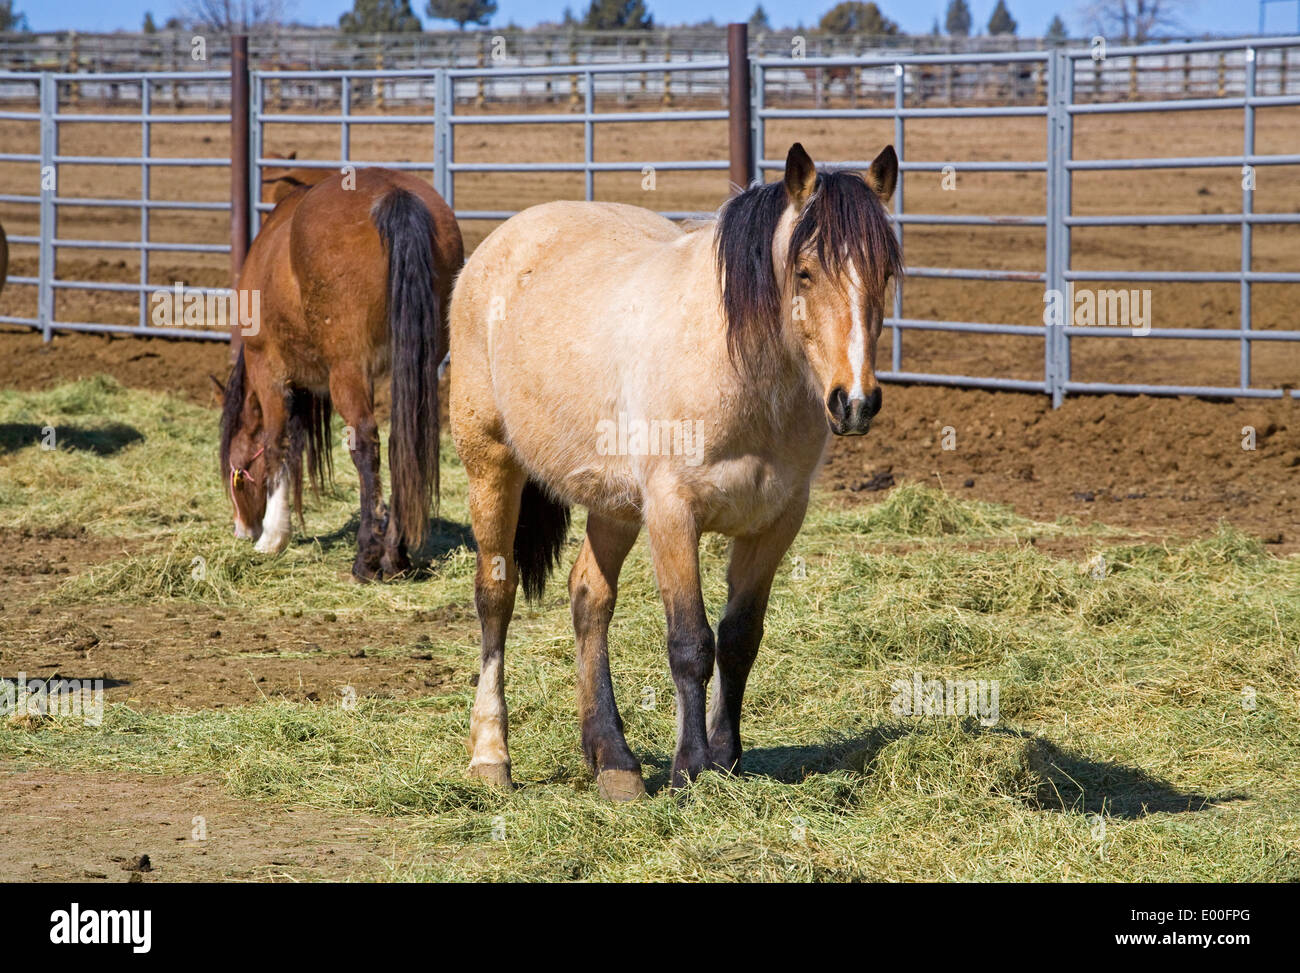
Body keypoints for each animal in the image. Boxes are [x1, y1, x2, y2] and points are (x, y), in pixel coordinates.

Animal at [218, 165, 463, 581]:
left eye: (234, 470)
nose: (241, 528)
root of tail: (393, 194)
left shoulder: (267, 368)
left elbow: (277, 443)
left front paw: (272, 536)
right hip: (418, 368)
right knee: (400, 445)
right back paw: (395, 554)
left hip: (348, 369)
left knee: (365, 442)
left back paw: (368, 556)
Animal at [448, 142, 901, 799]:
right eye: (805, 271)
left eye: (886, 273)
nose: (855, 402)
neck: (737, 372)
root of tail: (498, 245)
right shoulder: (672, 512)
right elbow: (691, 642)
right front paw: (690, 767)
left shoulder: (775, 523)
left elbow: (739, 638)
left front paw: (728, 757)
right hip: (491, 463)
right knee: (495, 596)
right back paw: (491, 757)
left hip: (612, 501)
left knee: (589, 596)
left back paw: (613, 761)